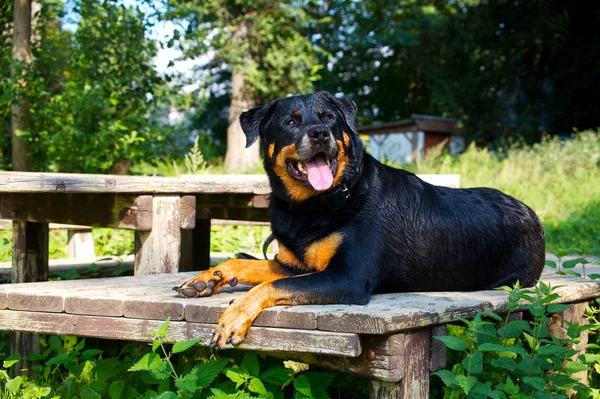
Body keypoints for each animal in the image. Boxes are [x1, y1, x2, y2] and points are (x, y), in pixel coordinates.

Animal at [172, 92, 544, 348]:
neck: (315, 206)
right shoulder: (295, 264)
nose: (320, 134)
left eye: (329, 119)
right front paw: (206, 278)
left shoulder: (348, 278)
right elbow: (246, 263)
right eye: (292, 121)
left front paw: (234, 316)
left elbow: (268, 286)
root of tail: (533, 214)